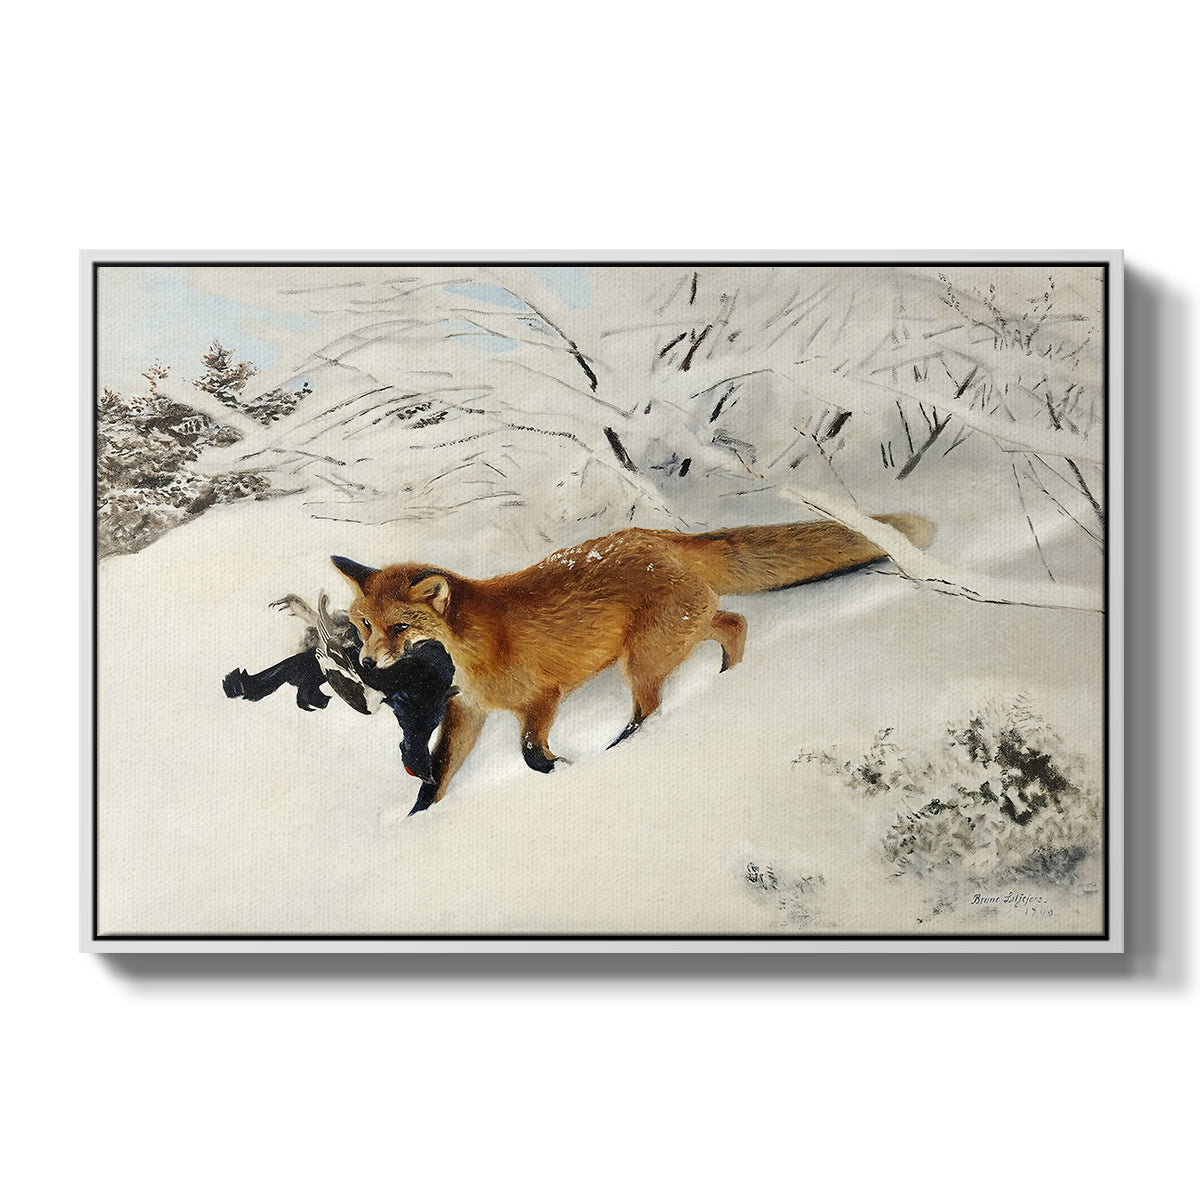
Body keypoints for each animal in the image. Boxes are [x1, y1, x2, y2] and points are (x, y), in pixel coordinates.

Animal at [332, 513, 934, 815]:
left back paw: (625, 747)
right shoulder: (468, 712)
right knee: (734, 622)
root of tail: (659, 537)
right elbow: (437, 777)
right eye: (364, 623)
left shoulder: (542, 698)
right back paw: (729, 678)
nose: (366, 661)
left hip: (642, 660)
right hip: (676, 635)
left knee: (653, 707)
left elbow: (530, 754)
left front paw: (564, 770)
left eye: (400, 628)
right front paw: (417, 821)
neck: (473, 648)